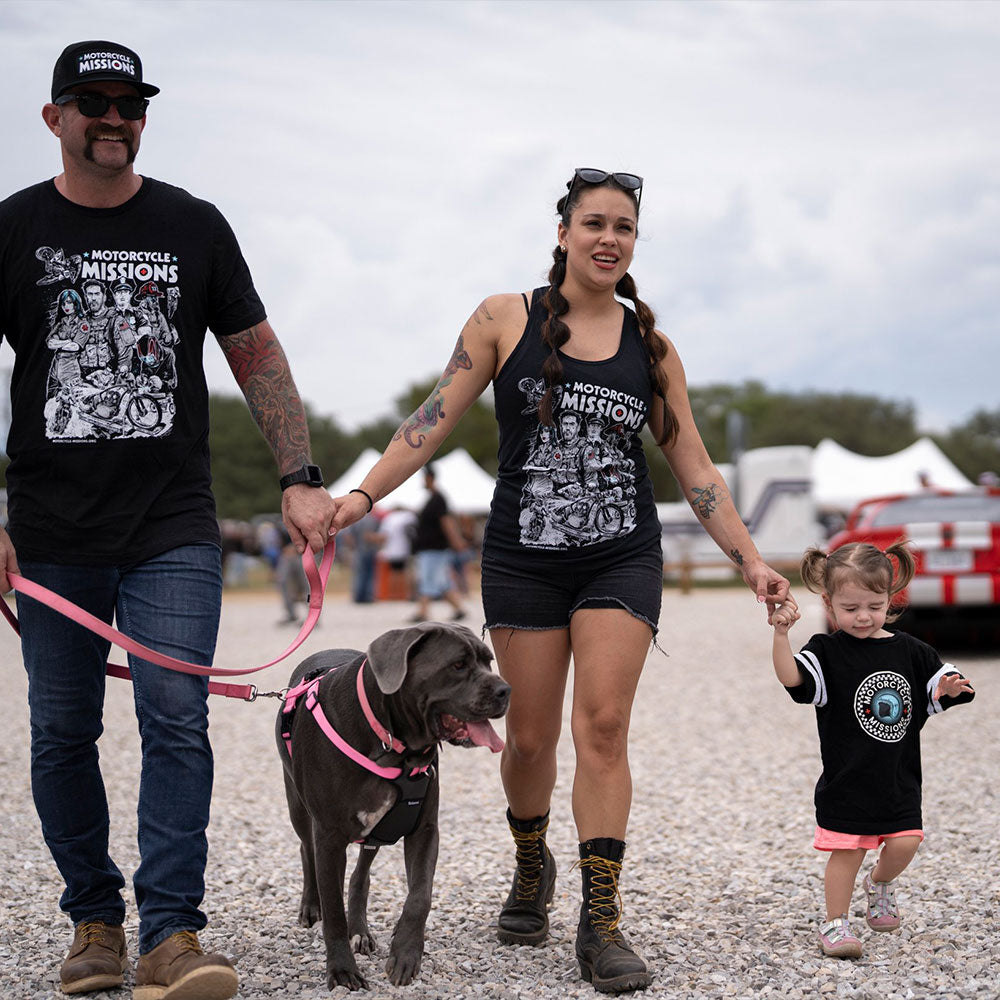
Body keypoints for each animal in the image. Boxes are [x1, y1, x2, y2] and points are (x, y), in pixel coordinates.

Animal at [274, 620, 508, 988]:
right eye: (458, 665)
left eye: (489, 661)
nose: (505, 691)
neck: (392, 743)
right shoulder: (329, 838)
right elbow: (333, 911)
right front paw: (342, 970)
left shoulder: (424, 829)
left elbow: (420, 895)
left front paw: (406, 954)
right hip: (298, 806)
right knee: (305, 850)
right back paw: (311, 905)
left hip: (382, 827)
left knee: (360, 877)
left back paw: (361, 930)